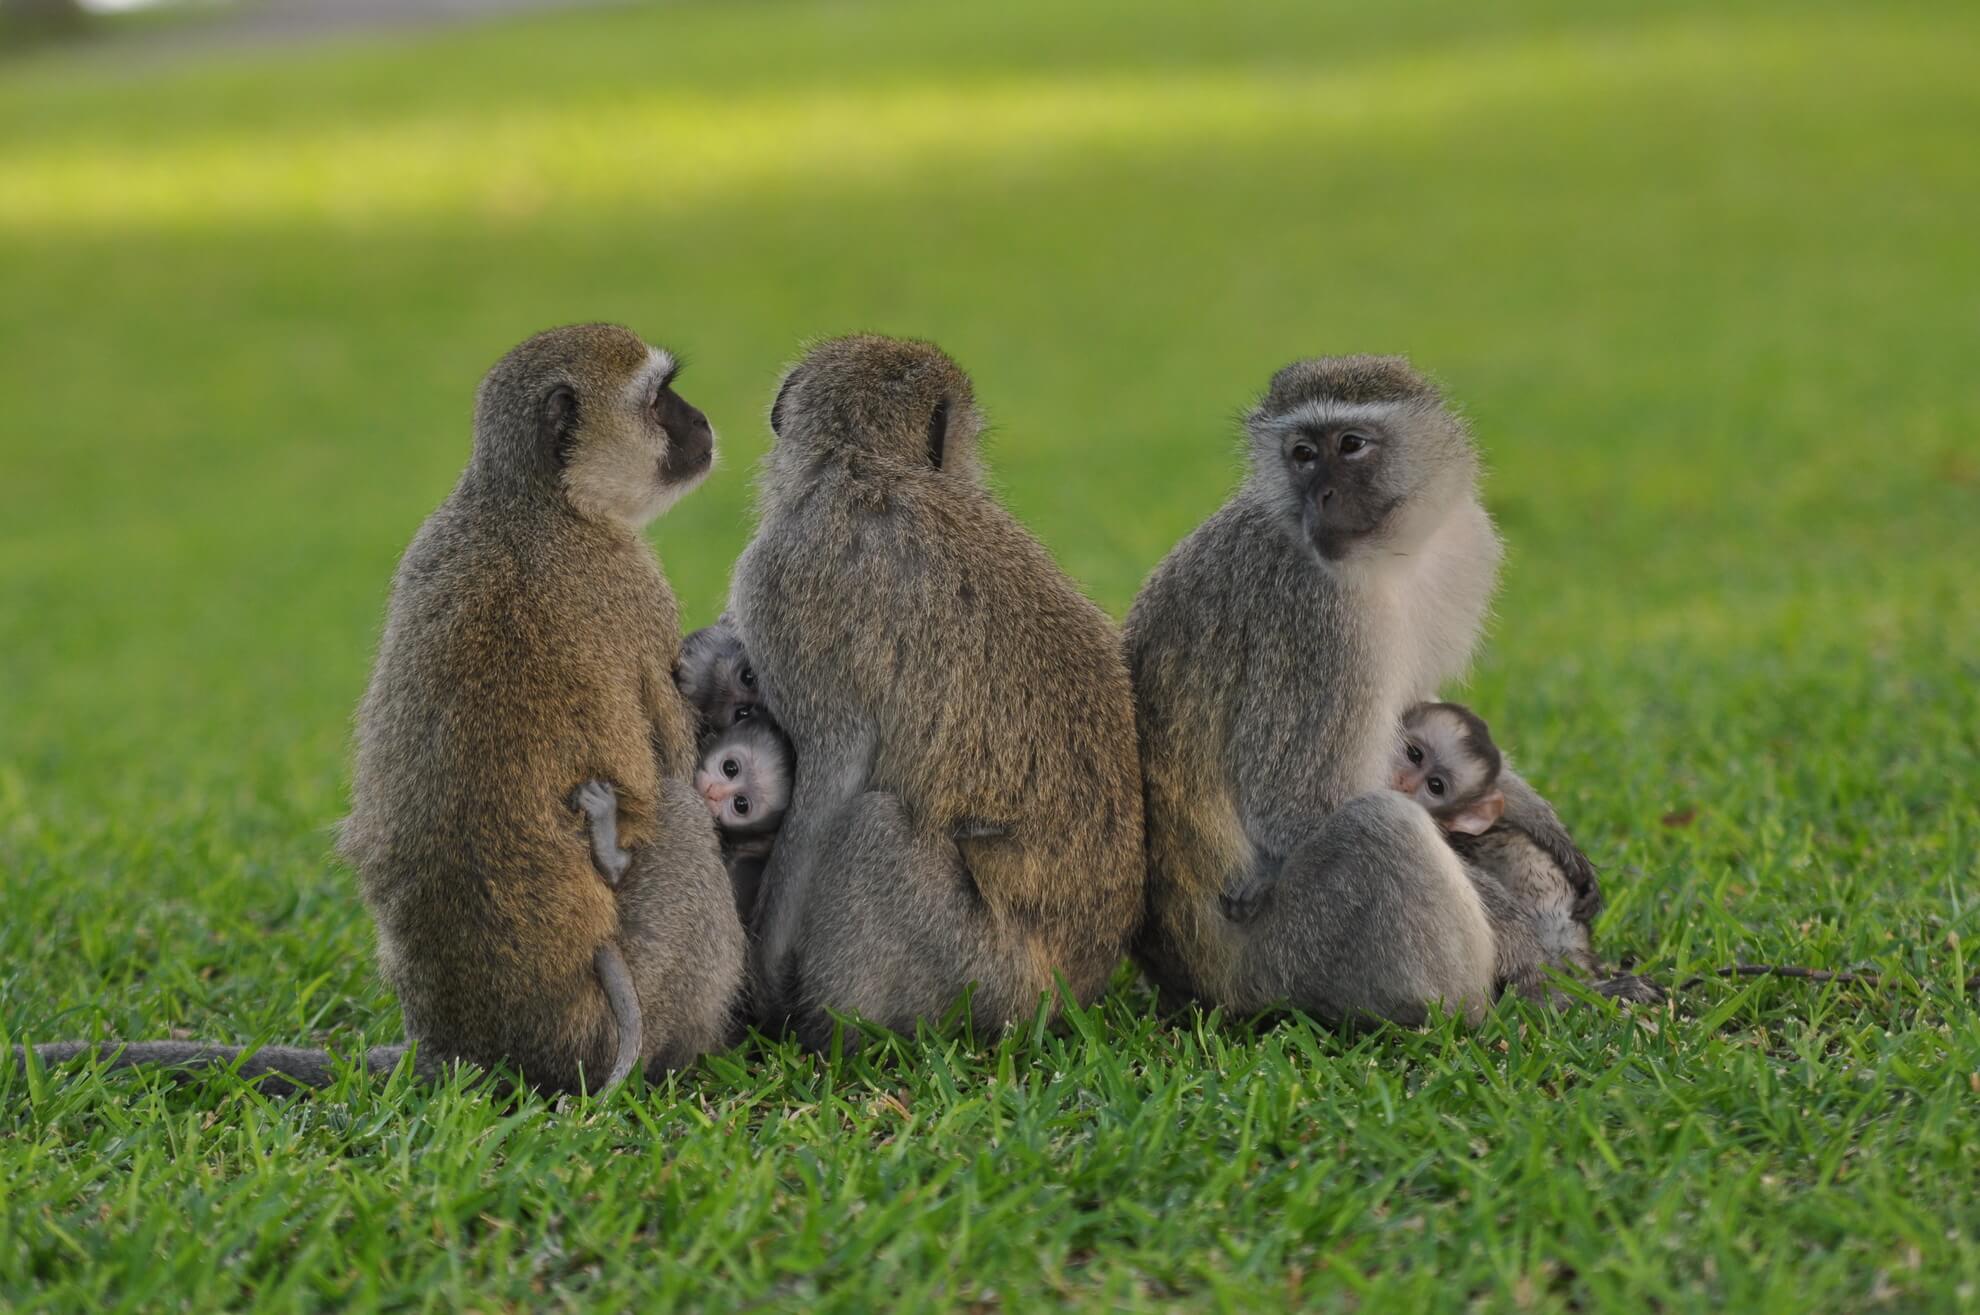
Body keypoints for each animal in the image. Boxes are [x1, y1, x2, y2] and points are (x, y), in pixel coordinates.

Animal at [18, 325, 746, 1095]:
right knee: (681, 818)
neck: (533, 501)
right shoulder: (633, 585)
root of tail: (466, 1044)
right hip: (626, 1008)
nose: (700, 422)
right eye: (660, 399)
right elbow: (677, 759)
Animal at [725, 334, 1145, 1049]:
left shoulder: (776, 576)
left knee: (874, 826)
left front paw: (764, 980)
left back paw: (833, 1033)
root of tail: (1070, 988)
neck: (864, 463)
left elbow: (830, 773)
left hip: (974, 975)